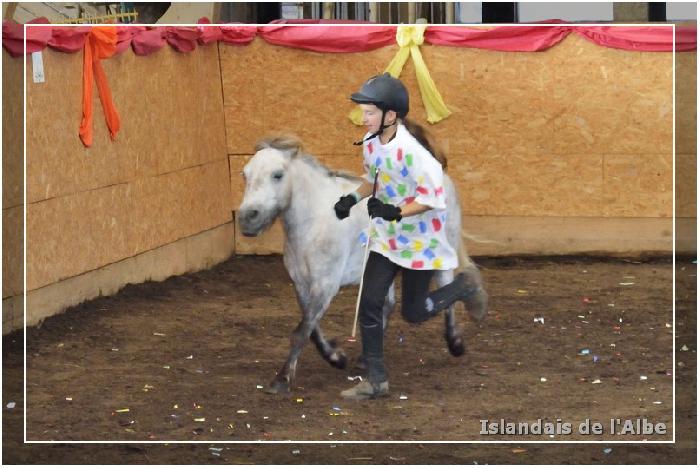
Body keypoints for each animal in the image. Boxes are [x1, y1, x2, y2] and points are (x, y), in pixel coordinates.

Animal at [238, 135, 484, 394]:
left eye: (277, 175)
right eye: (245, 174)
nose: (247, 218)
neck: (314, 222)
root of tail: (441, 178)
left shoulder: (325, 285)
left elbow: (301, 331)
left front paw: (282, 379)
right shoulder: (302, 285)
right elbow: (311, 328)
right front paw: (336, 358)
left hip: (441, 258)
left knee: (448, 291)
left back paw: (458, 335)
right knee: (388, 305)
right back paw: (366, 359)